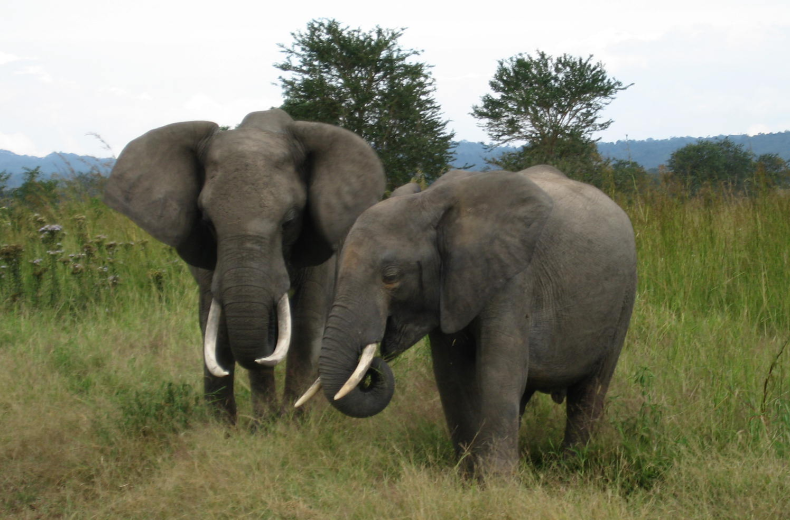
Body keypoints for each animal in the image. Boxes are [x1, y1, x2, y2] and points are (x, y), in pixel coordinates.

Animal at [103, 107, 388, 420]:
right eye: (208, 222)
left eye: (290, 221)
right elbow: (218, 321)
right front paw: (246, 425)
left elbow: (306, 321)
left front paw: (294, 422)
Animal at [300, 166, 640, 476]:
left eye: (391, 277)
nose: (371, 364)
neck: (430, 200)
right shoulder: (448, 289)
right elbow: (452, 375)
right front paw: (468, 477)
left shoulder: (513, 277)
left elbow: (498, 371)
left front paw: (498, 485)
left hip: (624, 299)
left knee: (590, 391)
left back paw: (570, 470)